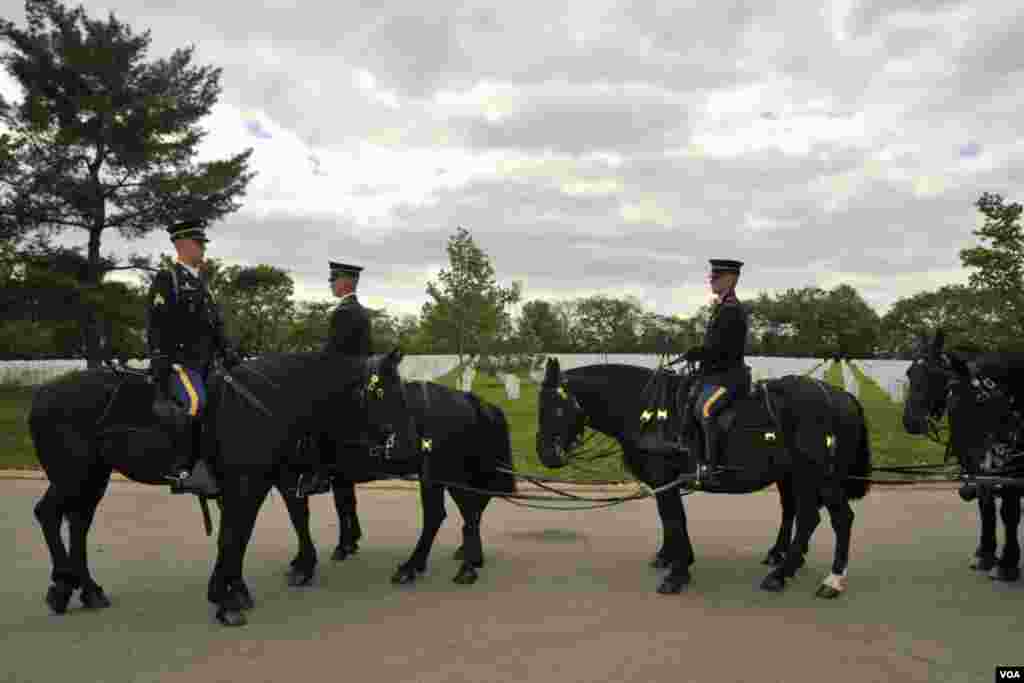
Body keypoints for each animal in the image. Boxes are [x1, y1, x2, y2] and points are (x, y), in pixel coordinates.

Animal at [27, 350, 415, 626]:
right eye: (385, 392)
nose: (408, 445)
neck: (267, 404)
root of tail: (43, 393)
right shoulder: (248, 485)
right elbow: (234, 537)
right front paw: (226, 598)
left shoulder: (255, 485)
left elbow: (239, 536)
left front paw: (233, 589)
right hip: (73, 476)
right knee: (48, 515)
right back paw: (63, 585)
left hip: (93, 477)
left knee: (78, 523)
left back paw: (86, 590)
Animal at [278, 382, 512, 589]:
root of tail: (467, 399)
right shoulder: (338, 477)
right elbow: (344, 506)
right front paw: (344, 545)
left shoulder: (290, 478)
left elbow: (301, 518)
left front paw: (306, 565)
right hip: (445, 477)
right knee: (468, 511)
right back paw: (464, 560)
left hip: (445, 474)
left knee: (453, 514)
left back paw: (435, 567)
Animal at [536, 360, 872, 593]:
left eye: (555, 408)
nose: (545, 454)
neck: (647, 410)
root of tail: (842, 397)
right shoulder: (663, 483)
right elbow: (670, 520)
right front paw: (672, 557)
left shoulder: (665, 480)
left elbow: (674, 519)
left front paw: (677, 573)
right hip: (799, 477)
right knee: (803, 516)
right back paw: (785, 564)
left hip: (818, 477)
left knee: (837, 519)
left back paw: (825, 579)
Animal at [901, 331, 1019, 581]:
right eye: (910, 373)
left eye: (937, 375)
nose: (910, 421)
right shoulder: (981, 469)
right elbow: (986, 507)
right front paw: (986, 554)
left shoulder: (1009, 471)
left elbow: (1009, 512)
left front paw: (1007, 564)